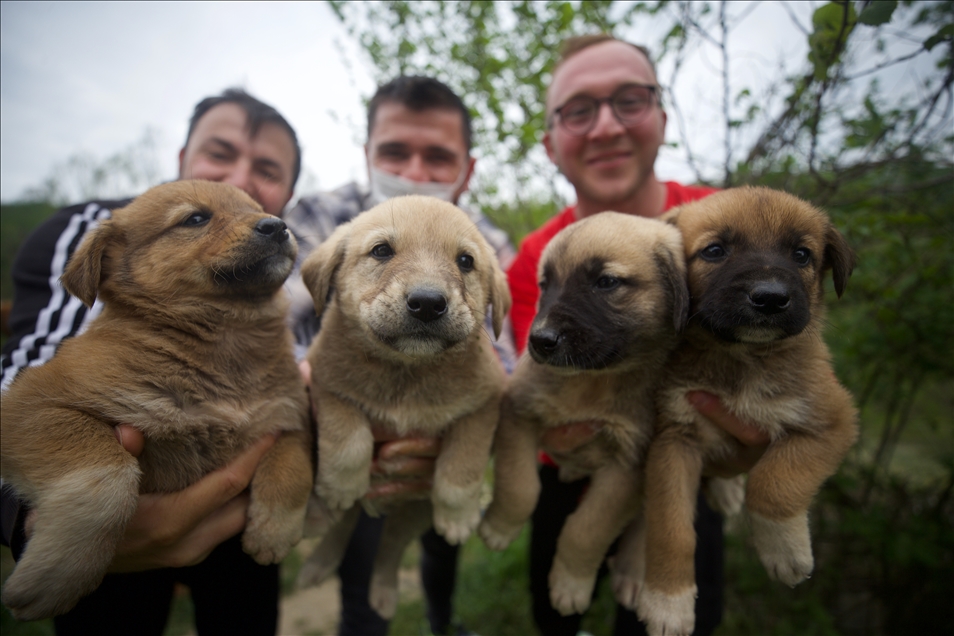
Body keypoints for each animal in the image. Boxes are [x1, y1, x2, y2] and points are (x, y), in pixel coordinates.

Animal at [0, 181, 310, 624]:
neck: (230, 342)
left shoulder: (290, 413)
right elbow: (107, 477)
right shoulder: (30, 404)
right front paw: (55, 575)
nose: (277, 226)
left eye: (257, 208)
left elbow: (293, 463)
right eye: (195, 218)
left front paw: (273, 531)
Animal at [296, 196, 510, 620]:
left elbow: (462, 466)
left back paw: (382, 592)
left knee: (391, 547)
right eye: (381, 251)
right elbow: (349, 438)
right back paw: (317, 552)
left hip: (414, 511)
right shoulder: (325, 384)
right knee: (342, 524)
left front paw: (458, 517)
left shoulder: (483, 406)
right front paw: (341, 483)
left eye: (465, 261)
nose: (427, 303)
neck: (407, 375)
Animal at [480, 212, 688, 616]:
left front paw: (571, 583)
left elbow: (588, 529)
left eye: (606, 282)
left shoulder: (627, 464)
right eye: (545, 284)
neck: (592, 383)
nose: (540, 341)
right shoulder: (518, 414)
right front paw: (500, 528)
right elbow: (520, 486)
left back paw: (632, 572)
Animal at [628, 186, 860, 636]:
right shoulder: (675, 439)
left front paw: (784, 548)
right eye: (715, 250)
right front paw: (668, 600)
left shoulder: (833, 419)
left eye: (801, 255)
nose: (770, 298)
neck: (742, 360)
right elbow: (671, 528)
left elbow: (775, 481)